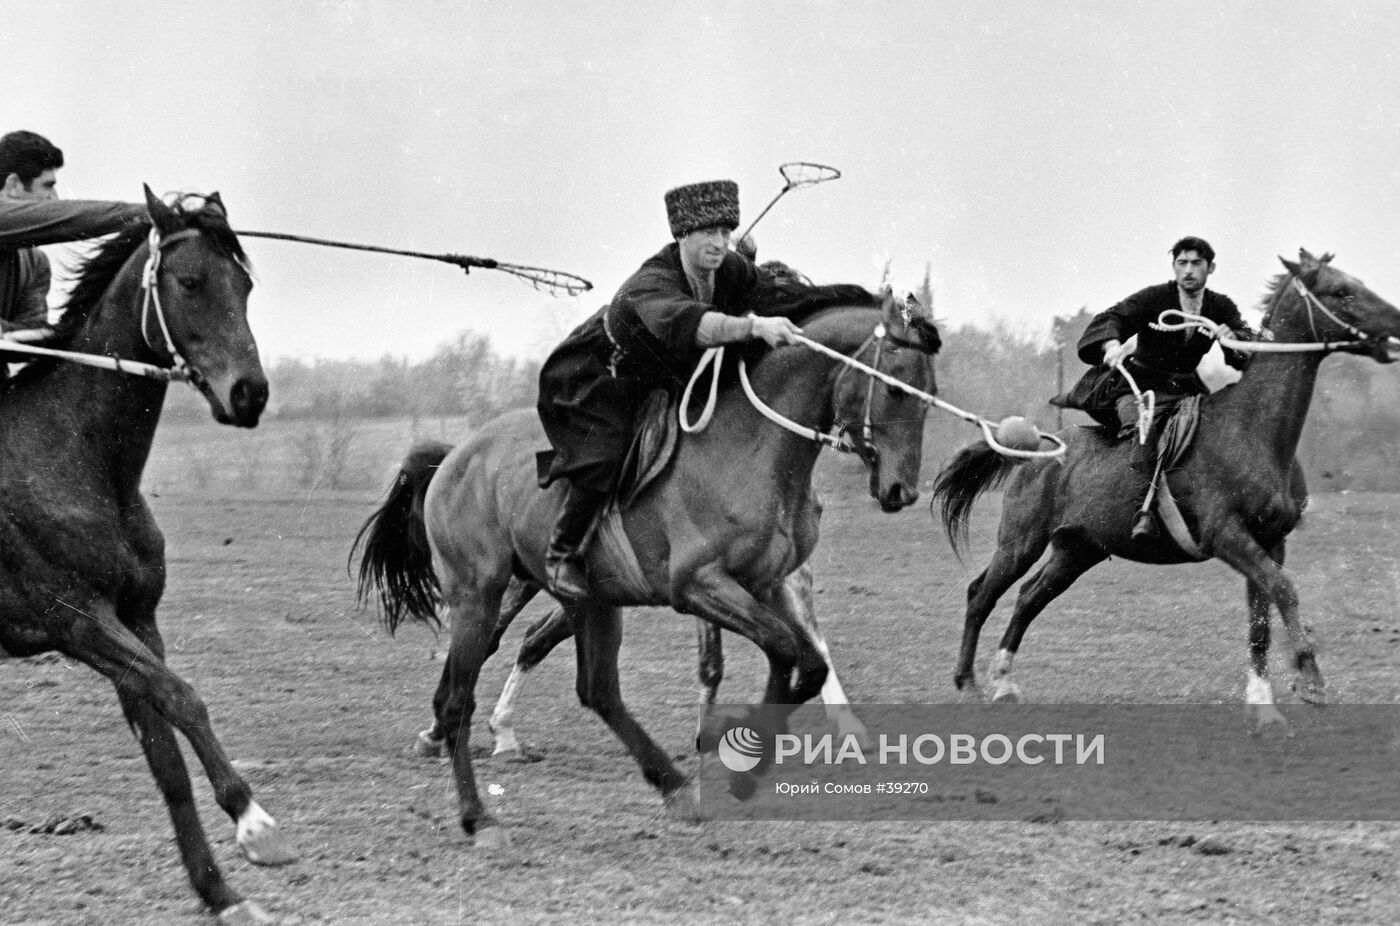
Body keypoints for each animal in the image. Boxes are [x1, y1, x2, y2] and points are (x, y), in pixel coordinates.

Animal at [0, 187, 295, 918]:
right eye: (188, 282)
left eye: (245, 284)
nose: (249, 393)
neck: (75, 460)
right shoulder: (76, 621)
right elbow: (184, 698)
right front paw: (255, 824)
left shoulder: (136, 623)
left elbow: (166, 759)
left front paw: (219, 892)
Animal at [352, 292, 940, 834]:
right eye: (894, 388)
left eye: (930, 397)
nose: (901, 491)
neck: (749, 447)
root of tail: (455, 457)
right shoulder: (699, 586)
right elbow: (781, 650)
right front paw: (740, 747)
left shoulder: (768, 584)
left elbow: (807, 661)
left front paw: (751, 747)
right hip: (480, 591)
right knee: (466, 688)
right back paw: (475, 810)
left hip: (589, 601)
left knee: (595, 689)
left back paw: (672, 786)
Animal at [935, 249, 1400, 728]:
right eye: (1342, 291)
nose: (1397, 323)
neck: (1251, 432)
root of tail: (1039, 447)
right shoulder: (1226, 536)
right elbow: (1284, 590)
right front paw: (1310, 682)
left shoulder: (1270, 541)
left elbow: (1261, 619)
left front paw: (1263, 706)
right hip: (1021, 542)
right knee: (981, 594)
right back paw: (967, 682)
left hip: (1078, 549)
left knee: (1029, 598)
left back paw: (1004, 683)